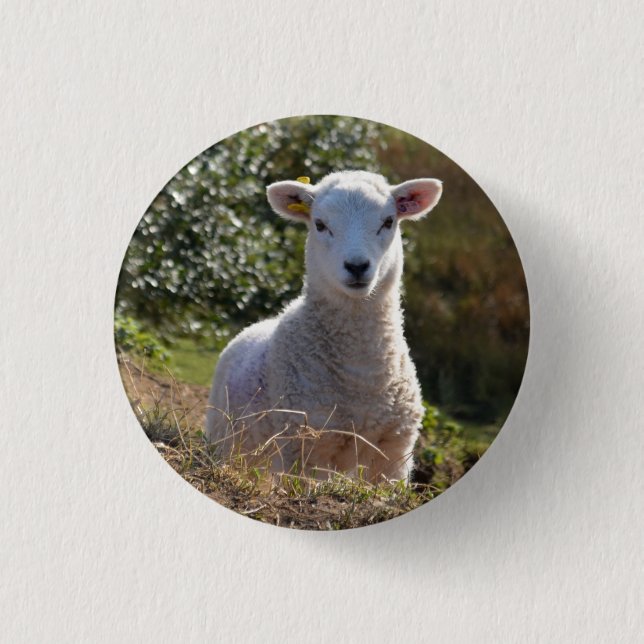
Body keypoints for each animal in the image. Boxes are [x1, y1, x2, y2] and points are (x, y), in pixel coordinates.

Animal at [205, 170, 443, 482]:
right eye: (320, 224)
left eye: (388, 221)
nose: (357, 266)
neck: (361, 374)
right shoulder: (302, 447)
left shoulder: (395, 450)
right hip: (230, 441)